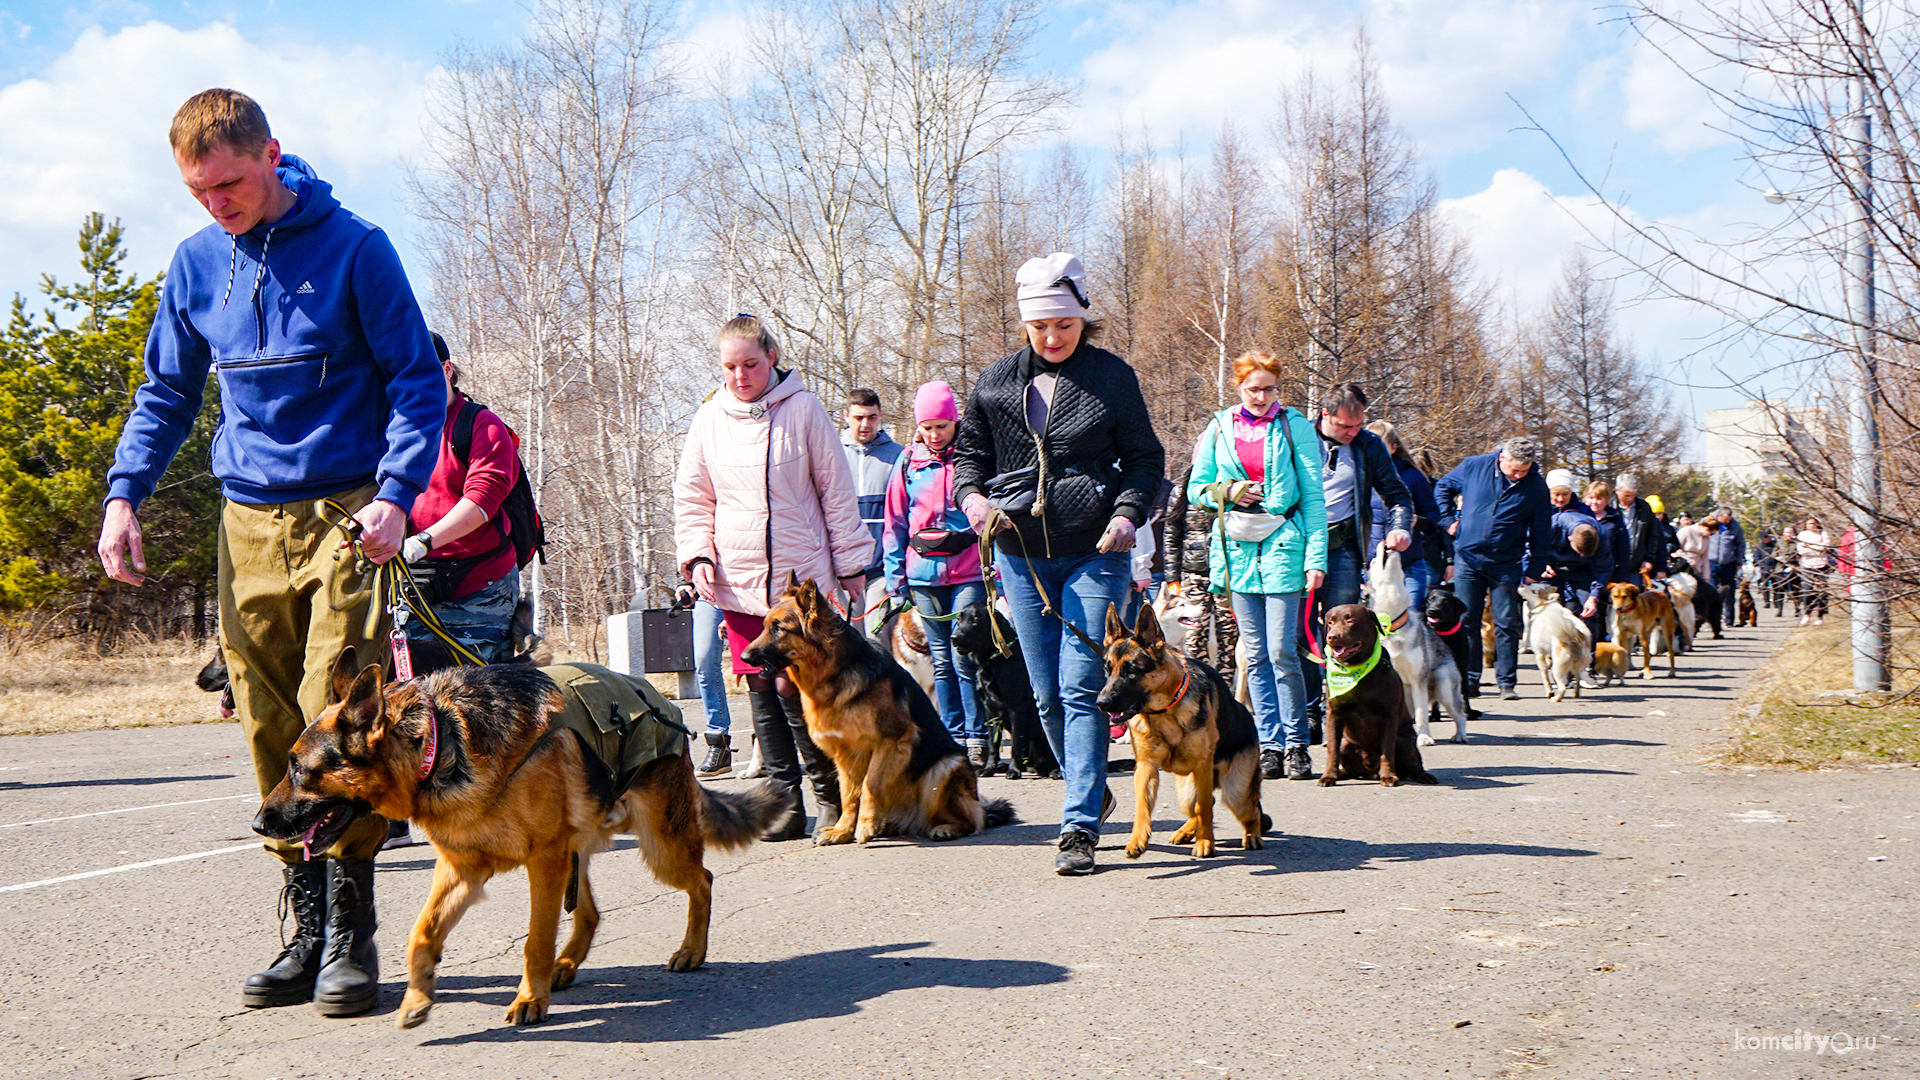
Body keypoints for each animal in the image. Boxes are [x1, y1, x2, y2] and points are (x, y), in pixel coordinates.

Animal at [253, 645, 779, 1022]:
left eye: (299, 769)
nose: (259, 825)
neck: (437, 743)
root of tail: (663, 701)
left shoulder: (541, 861)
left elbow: (535, 939)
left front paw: (530, 998)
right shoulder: (463, 870)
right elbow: (421, 933)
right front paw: (417, 998)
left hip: (657, 846)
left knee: (702, 881)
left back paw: (691, 950)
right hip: (578, 853)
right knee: (591, 912)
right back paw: (567, 965)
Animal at [737, 572, 1021, 841]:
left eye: (779, 628)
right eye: (765, 626)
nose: (743, 657)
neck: (837, 670)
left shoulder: (891, 742)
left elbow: (869, 785)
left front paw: (863, 826)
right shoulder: (844, 754)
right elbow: (848, 793)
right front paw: (842, 830)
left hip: (944, 767)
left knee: (973, 819)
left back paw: (944, 828)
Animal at [1313, 599, 1436, 787]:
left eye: (1350, 620)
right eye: (1330, 622)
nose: (1332, 636)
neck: (1355, 669)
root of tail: (1369, 772)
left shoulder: (1388, 715)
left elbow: (1387, 751)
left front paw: (1388, 776)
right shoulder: (1334, 714)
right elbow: (1332, 751)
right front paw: (1328, 776)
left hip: (1405, 740)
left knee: (1414, 764)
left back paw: (1424, 776)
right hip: (1346, 742)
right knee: (1347, 763)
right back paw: (1341, 774)